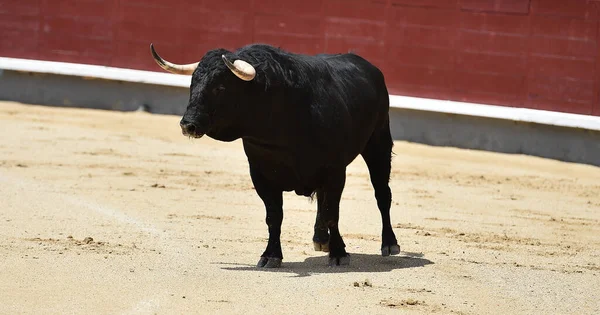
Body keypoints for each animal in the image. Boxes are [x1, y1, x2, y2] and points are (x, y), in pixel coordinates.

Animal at [152, 43, 400, 268]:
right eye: (193, 83)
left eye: (220, 88)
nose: (188, 125)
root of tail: (370, 68)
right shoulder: (261, 175)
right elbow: (274, 217)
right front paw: (270, 256)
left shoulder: (335, 171)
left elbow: (333, 212)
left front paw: (339, 254)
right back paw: (321, 239)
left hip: (378, 142)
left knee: (382, 194)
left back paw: (389, 244)